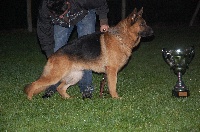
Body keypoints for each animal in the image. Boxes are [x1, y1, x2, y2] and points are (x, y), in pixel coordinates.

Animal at [24, 7, 153, 99]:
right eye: (142, 24)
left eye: (145, 23)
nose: (153, 32)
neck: (120, 37)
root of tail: (52, 56)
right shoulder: (111, 71)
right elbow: (113, 86)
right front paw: (116, 98)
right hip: (55, 76)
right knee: (33, 85)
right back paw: (30, 100)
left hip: (76, 76)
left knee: (60, 88)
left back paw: (69, 98)